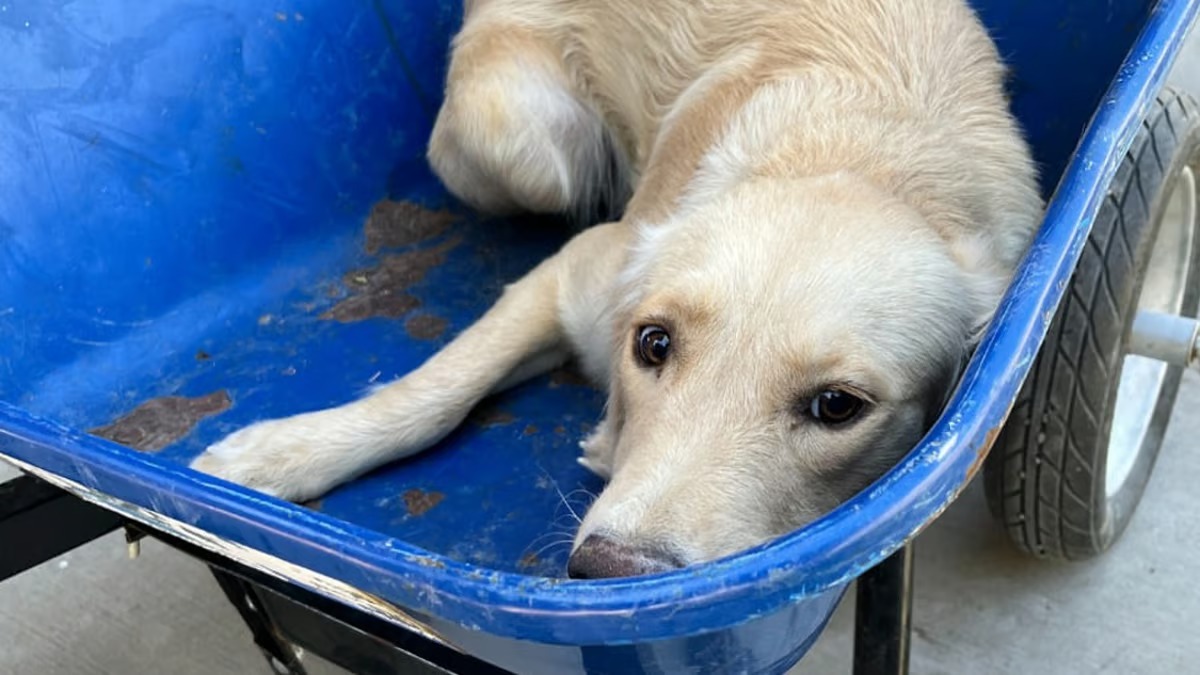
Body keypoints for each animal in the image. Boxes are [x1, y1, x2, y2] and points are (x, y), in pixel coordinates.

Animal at [187, 0, 1041, 578]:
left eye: (837, 406)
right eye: (653, 343)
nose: (607, 572)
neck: (863, 156)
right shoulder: (582, 270)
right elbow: (433, 393)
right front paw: (285, 452)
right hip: (520, 141)